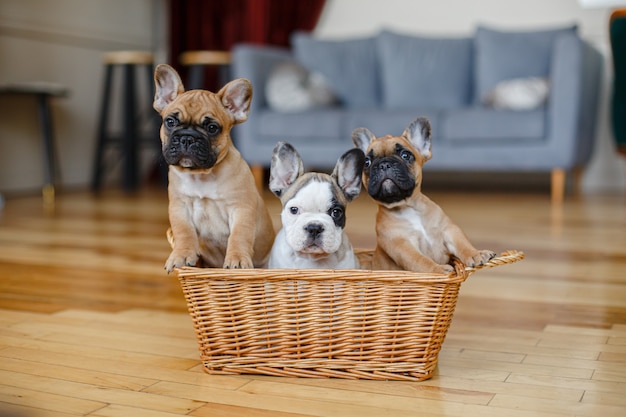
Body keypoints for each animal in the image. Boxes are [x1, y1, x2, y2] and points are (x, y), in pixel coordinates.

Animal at [152, 63, 272, 272]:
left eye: (212, 128)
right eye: (170, 122)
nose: (187, 138)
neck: (201, 176)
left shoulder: (241, 208)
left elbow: (239, 236)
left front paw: (237, 260)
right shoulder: (179, 208)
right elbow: (183, 232)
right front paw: (181, 255)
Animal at [352, 117, 492, 272]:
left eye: (405, 155)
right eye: (367, 162)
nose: (384, 164)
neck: (407, 207)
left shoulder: (449, 230)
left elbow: (462, 243)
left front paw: (475, 254)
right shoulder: (401, 246)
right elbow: (421, 260)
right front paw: (438, 270)